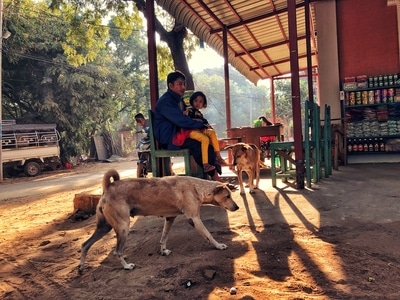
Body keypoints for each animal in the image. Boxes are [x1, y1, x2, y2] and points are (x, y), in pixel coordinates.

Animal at [79, 170, 239, 274]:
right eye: (228, 196)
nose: (237, 207)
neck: (196, 187)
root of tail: (108, 187)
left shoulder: (170, 218)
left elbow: (164, 237)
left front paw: (163, 251)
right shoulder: (194, 219)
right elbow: (209, 235)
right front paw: (219, 246)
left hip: (104, 227)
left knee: (85, 244)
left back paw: (81, 268)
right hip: (123, 228)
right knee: (117, 251)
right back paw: (127, 266)